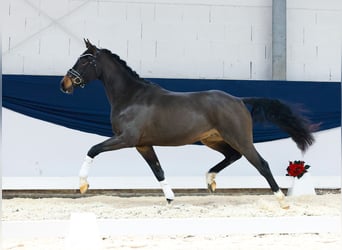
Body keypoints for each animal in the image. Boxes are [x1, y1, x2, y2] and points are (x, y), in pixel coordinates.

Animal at [60, 38, 316, 207]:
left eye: (85, 61)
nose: (64, 84)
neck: (131, 97)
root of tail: (239, 100)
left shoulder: (126, 139)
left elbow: (93, 149)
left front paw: (83, 185)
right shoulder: (143, 144)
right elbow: (158, 170)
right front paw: (170, 198)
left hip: (239, 138)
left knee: (261, 163)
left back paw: (282, 201)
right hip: (213, 139)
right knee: (232, 156)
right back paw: (210, 180)